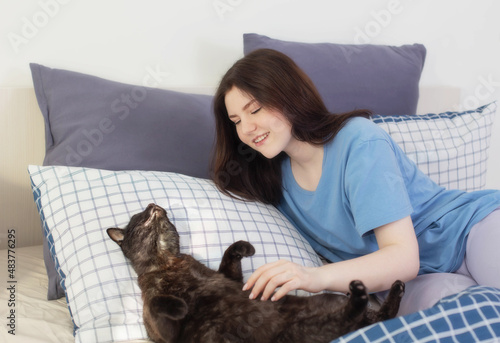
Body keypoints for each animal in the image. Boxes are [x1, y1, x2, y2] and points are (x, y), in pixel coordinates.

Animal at [107, 204, 404, 343]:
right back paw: (362, 293)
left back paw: (391, 288)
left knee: (377, 316)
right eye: (138, 216)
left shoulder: (230, 280)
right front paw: (179, 307)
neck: (168, 262)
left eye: (167, 219)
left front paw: (245, 247)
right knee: (362, 316)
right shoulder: (164, 334)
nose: (154, 205)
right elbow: (158, 303)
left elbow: (229, 255)